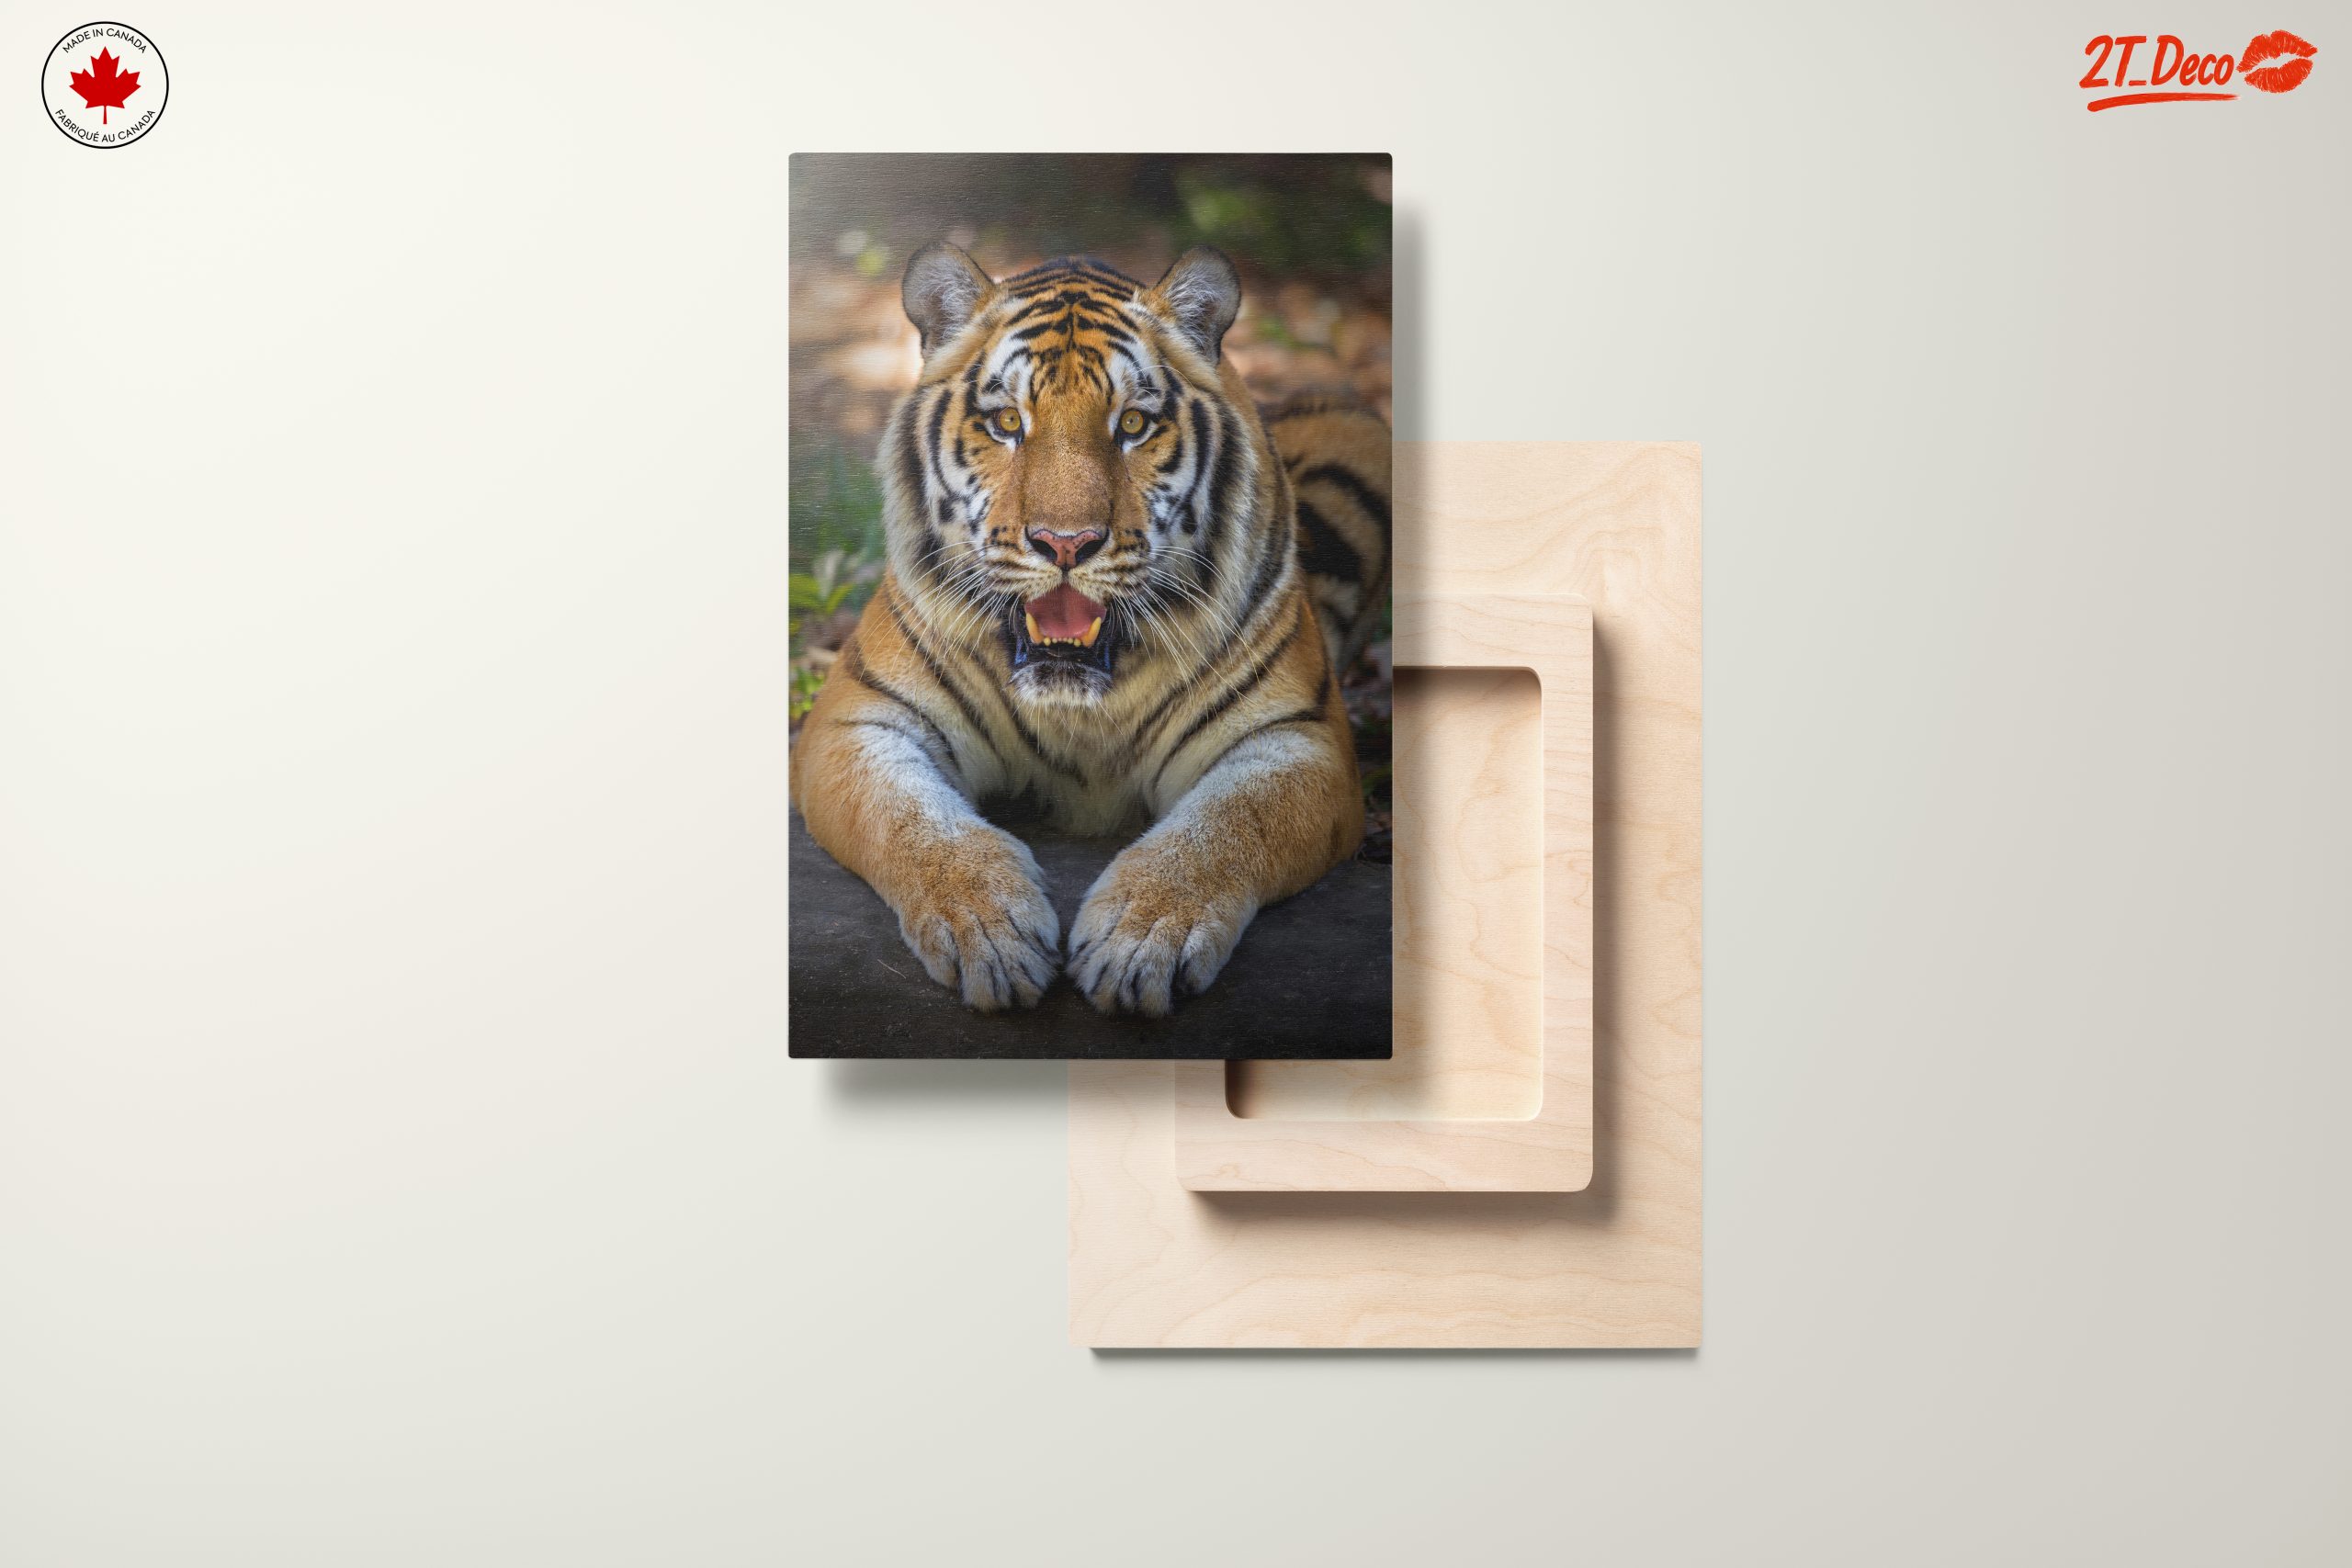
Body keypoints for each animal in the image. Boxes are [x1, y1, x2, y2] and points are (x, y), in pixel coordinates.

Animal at [790, 242, 1390, 1015]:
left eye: (1132, 426)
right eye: (1006, 423)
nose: (1065, 543)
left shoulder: (1298, 739)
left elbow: (1225, 827)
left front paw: (1141, 939)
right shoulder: (857, 721)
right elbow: (912, 822)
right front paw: (991, 928)